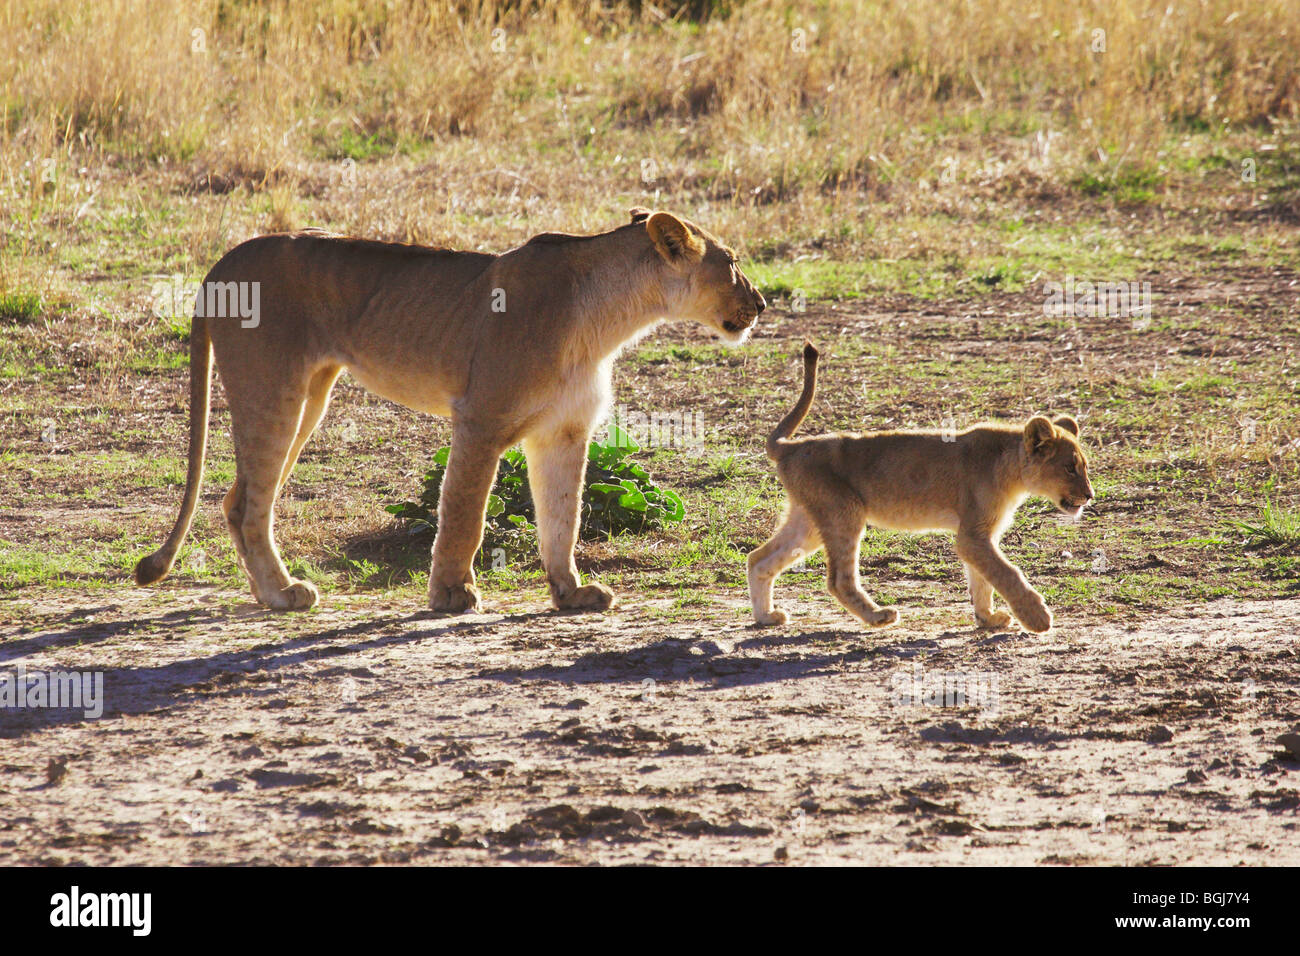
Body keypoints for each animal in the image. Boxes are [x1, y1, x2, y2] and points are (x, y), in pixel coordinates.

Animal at [135, 209, 766, 613]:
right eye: (732, 263)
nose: (761, 303)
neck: (608, 319)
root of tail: (224, 260)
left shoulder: (564, 431)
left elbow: (562, 516)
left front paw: (570, 593)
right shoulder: (481, 419)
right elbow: (466, 513)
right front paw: (451, 596)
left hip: (311, 395)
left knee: (238, 498)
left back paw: (269, 594)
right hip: (275, 391)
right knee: (249, 503)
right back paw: (283, 594)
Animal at [747, 343, 1095, 633]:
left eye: (1084, 466)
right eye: (1070, 467)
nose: (1090, 496)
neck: (1011, 468)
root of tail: (790, 446)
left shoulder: (980, 534)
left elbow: (981, 579)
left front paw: (988, 619)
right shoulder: (972, 535)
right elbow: (1006, 573)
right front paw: (1037, 617)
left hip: (809, 520)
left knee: (759, 558)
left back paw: (766, 616)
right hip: (843, 512)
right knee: (838, 580)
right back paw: (878, 616)